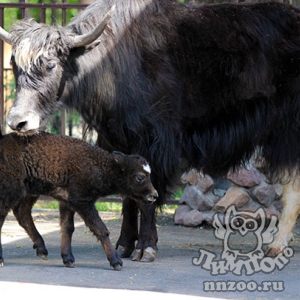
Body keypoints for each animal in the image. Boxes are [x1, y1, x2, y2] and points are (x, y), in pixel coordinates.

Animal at [0, 131, 157, 270]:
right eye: (140, 177)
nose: (154, 195)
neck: (100, 165)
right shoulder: (82, 202)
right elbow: (101, 229)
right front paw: (116, 262)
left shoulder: (66, 201)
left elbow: (67, 227)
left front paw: (68, 259)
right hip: (11, 191)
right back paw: (2, 260)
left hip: (28, 193)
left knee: (22, 213)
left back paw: (42, 250)